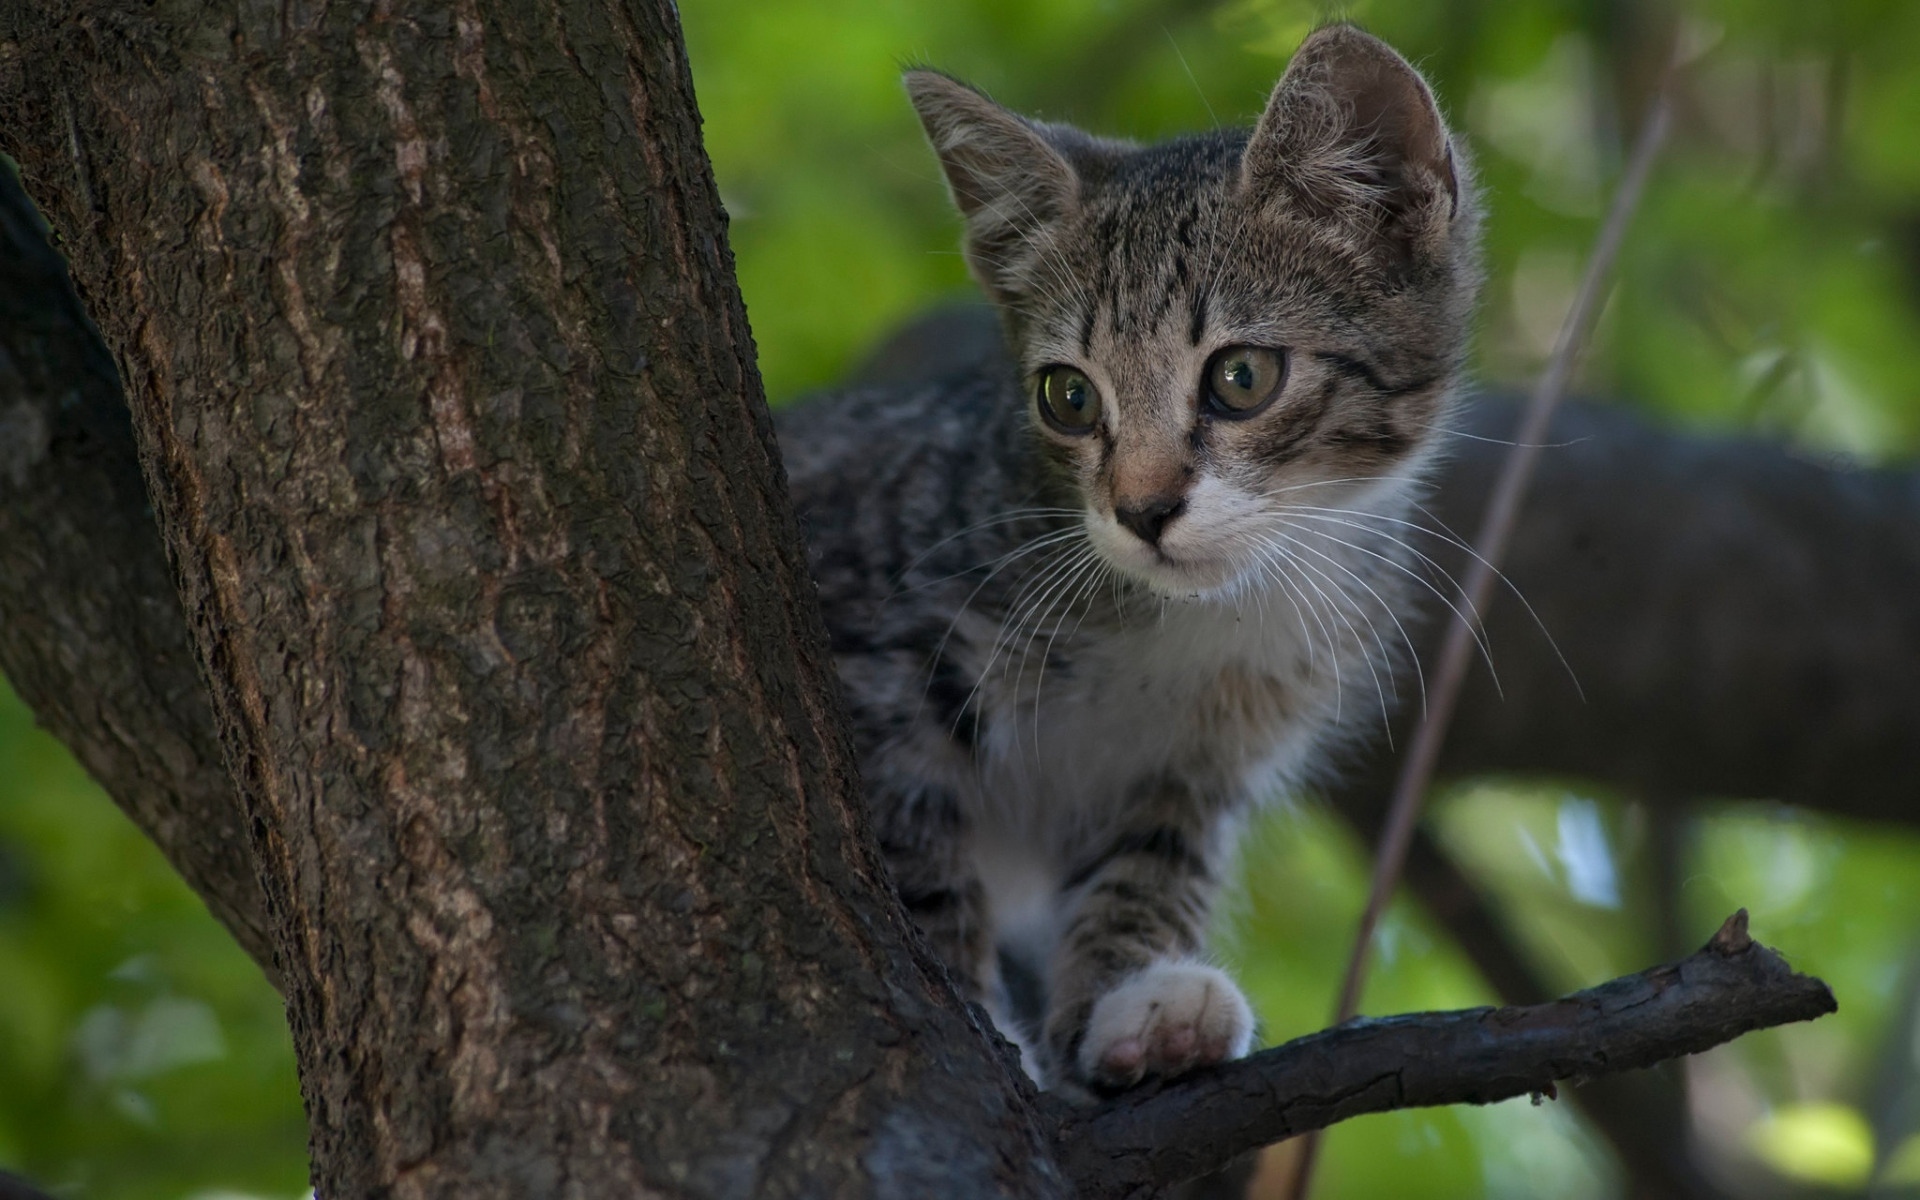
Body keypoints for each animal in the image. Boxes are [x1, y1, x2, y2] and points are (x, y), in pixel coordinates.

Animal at [771, 25, 1474, 1098]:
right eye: (1068, 397)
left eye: (1241, 377)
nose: (1143, 510)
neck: (1188, 621)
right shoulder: (875, 664)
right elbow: (919, 862)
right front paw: (987, 1022)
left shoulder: (1202, 758)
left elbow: (1151, 865)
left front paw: (1127, 1002)